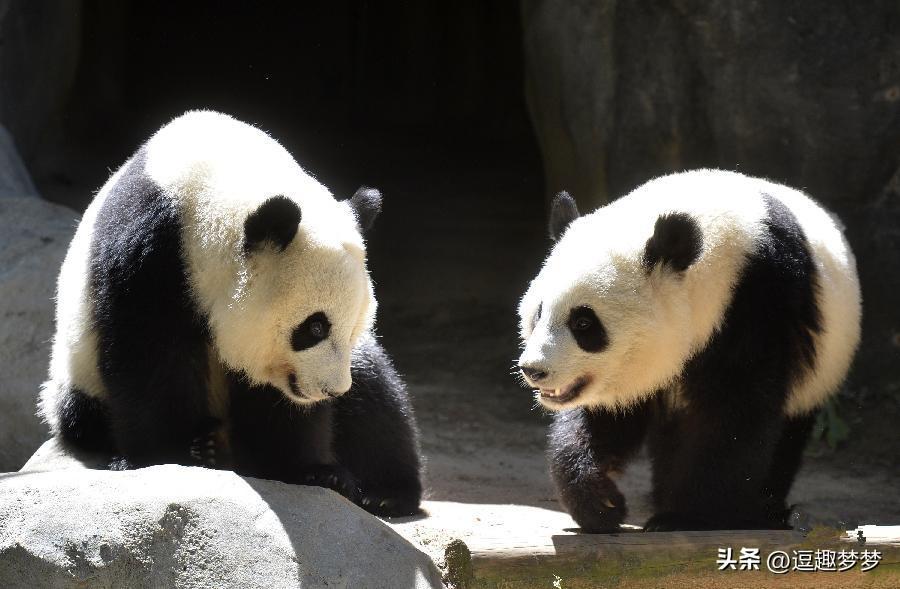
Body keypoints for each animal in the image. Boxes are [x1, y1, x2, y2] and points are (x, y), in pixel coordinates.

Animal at [37, 109, 424, 516]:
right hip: (77, 380)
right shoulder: (147, 252)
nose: (330, 390)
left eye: (352, 329)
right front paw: (167, 456)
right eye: (315, 328)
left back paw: (384, 492)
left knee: (375, 395)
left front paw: (312, 472)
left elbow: (280, 404)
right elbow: (149, 354)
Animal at [516, 168, 860, 532]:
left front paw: (685, 516)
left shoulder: (758, 308)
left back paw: (764, 510)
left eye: (583, 323)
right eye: (539, 312)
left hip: (822, 366)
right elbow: (602, 418)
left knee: (786, 437)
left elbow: (733, 416)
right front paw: (600, 501)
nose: (534, 369)